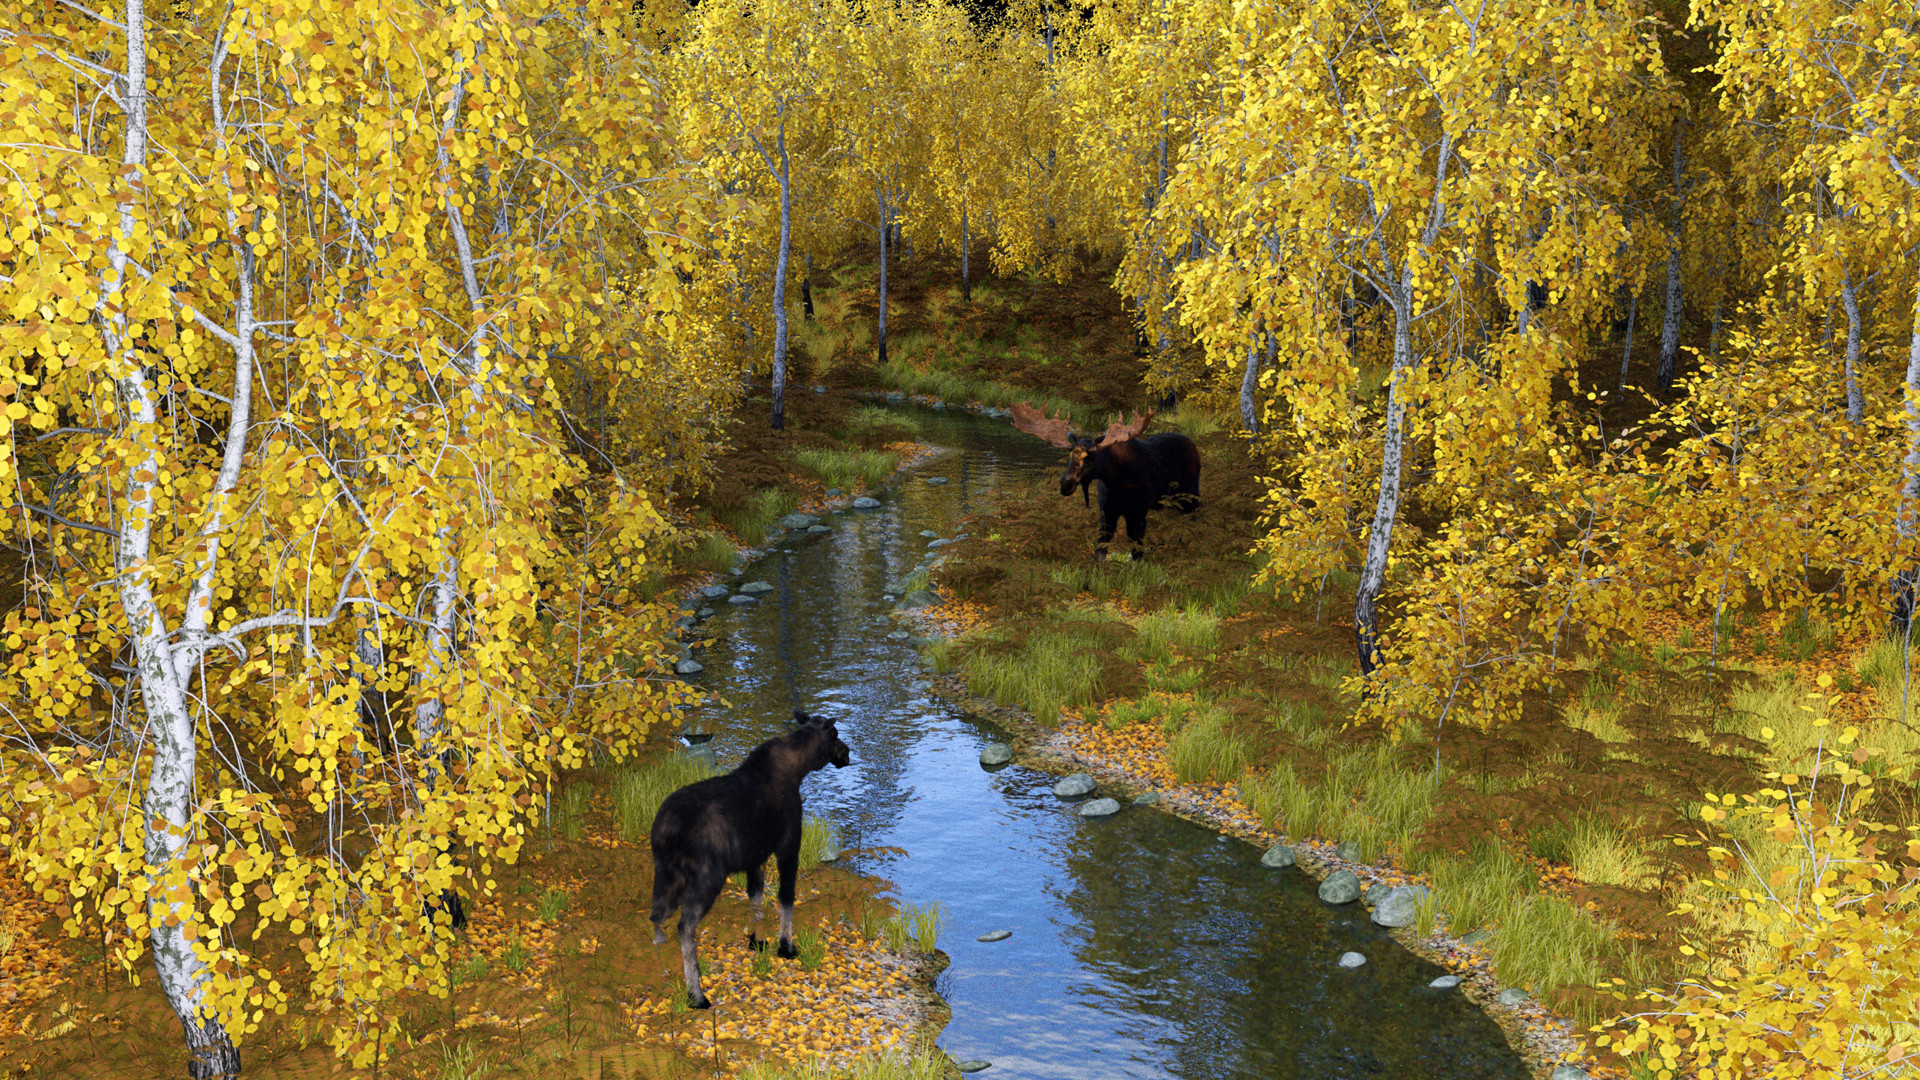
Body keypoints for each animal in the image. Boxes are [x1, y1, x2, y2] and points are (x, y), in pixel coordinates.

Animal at [648, 711, 852, 1006]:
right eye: (835, 735)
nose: (847, 753)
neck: (800, 768)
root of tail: (667, 829)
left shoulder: (756, 857)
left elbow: (756, 901)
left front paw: (757, 942)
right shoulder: (788, 846)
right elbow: (785, 898)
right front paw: (785, 946)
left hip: (665, 872)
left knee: (657, 915)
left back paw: (659, 953)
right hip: (707, 877)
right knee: (685, 926)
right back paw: (696, 993)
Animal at [1006, 399, 1198, 557]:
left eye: (1089, 458)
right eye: (1070, 456)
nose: (1066, 483)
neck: (1116, 482)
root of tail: (1193, 445)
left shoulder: (1138, 510)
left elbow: (1136, 549)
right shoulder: (1106, 510)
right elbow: (1100, 548)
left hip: (1191, 495)